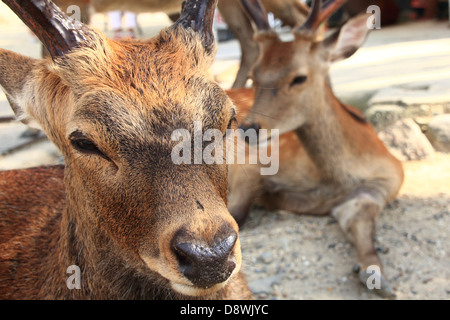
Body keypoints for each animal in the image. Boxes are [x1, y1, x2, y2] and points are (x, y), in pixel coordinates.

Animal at [229, 0, 404, 298]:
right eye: (254, 76)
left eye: (299, 78)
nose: (248, 129)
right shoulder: (252, 166)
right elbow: (235, 216)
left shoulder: (375, 188)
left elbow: (362, 228)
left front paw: (375, 275)